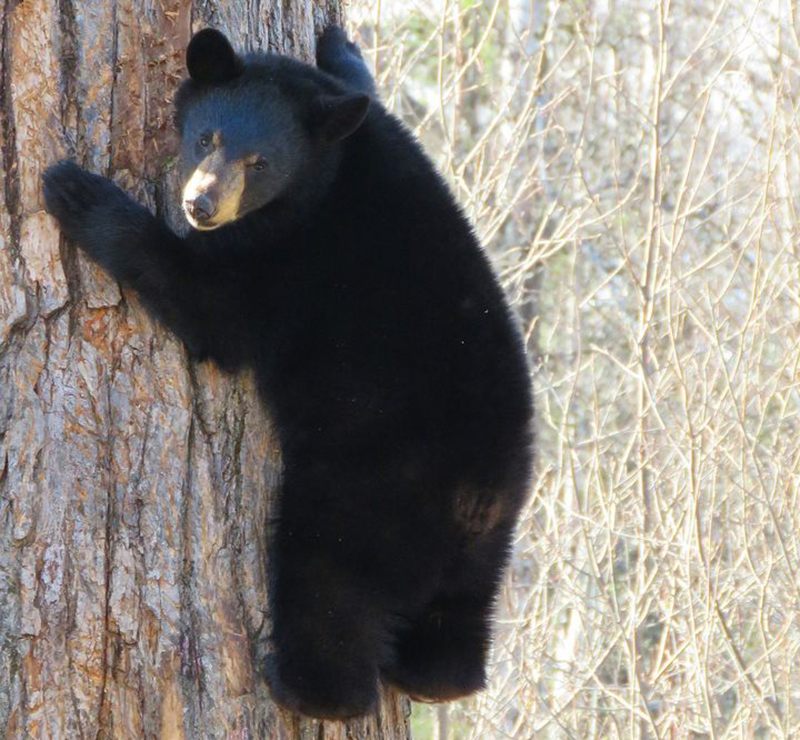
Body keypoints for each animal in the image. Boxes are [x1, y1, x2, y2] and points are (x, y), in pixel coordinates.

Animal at [42, 26, 533, 720]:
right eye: (207, 138)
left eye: (261, 164)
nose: (200, 204)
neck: (330, 175)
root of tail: (476, 497)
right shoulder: (370, 127)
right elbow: (358, 88)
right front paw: (340, 42)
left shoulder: (291, 260)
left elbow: (207, 303)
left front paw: (79, 192)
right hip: (492, 542)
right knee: (460, 613)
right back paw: (435, 678)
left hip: (365, 489)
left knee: (328, 583)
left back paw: (304, 685)